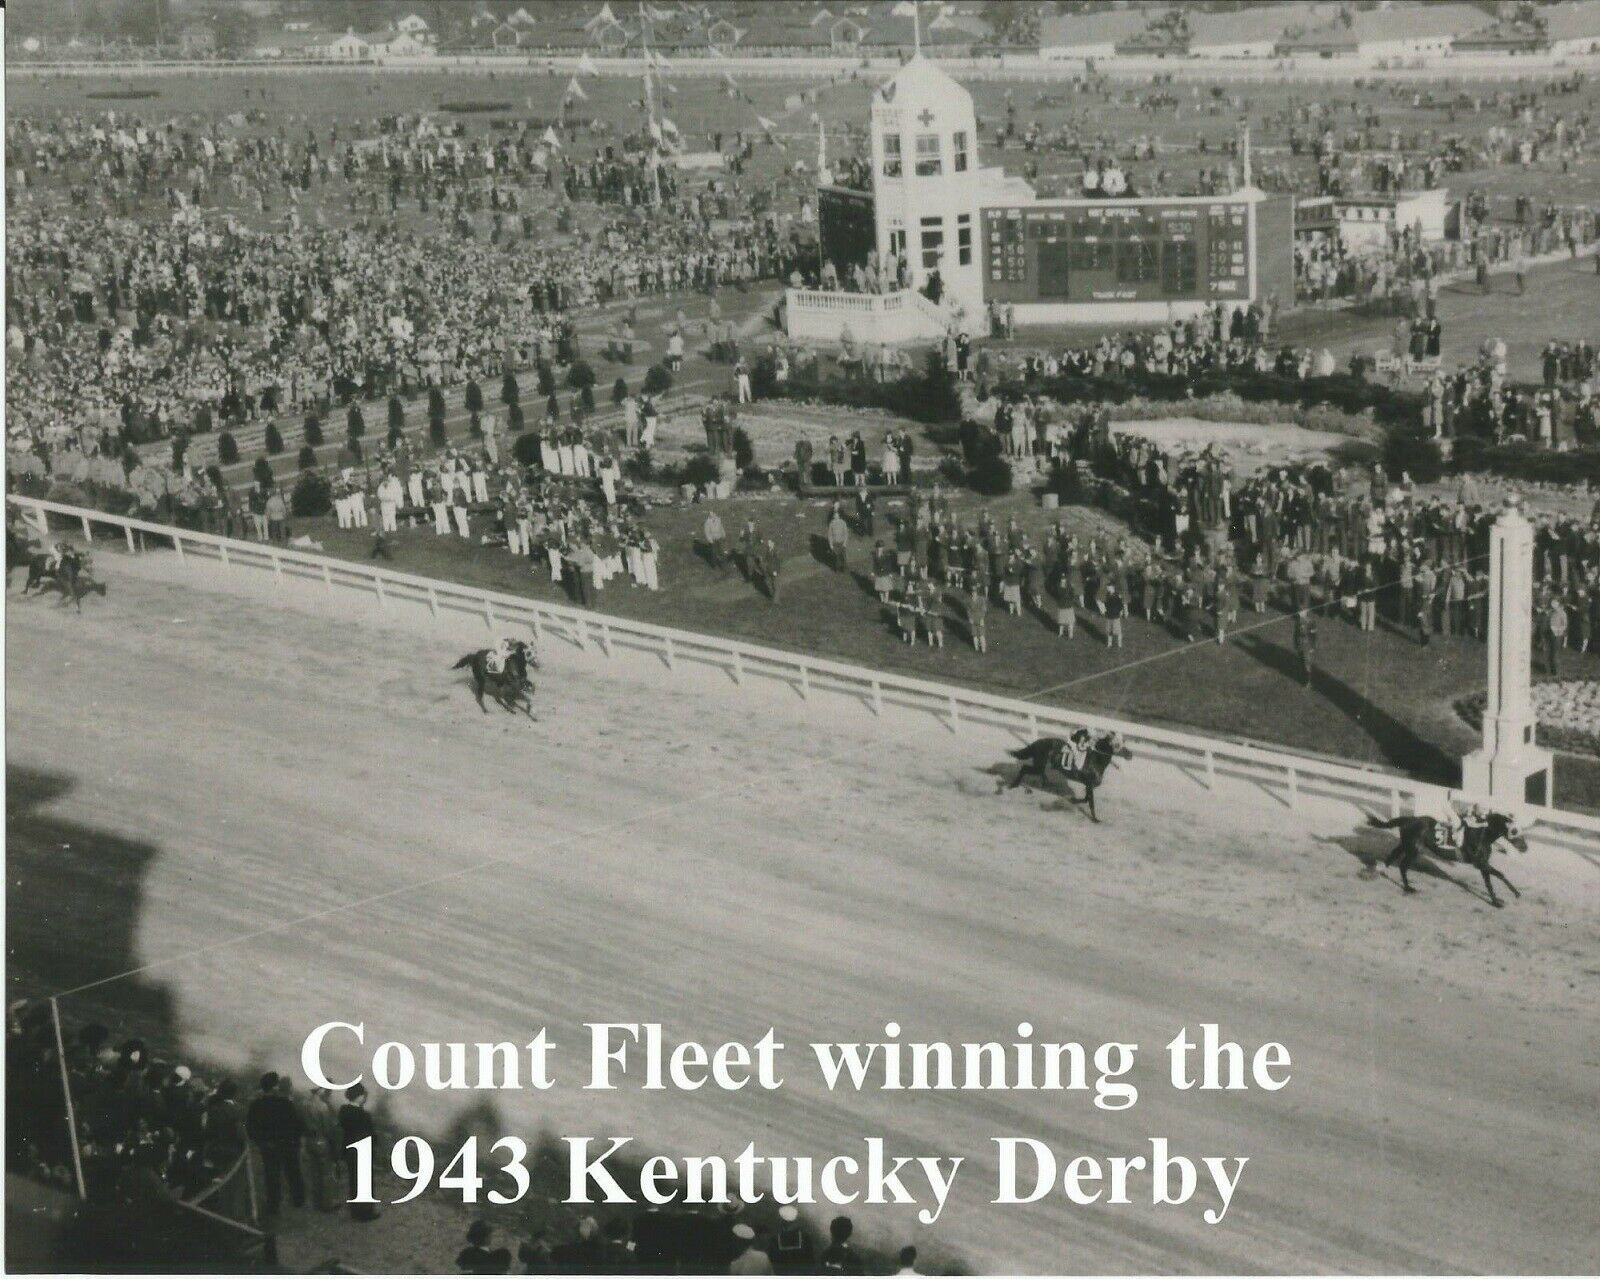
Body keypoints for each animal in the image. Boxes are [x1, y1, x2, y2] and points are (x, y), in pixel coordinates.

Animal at [1004, 736, 1132, 825]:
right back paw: (1014, 784)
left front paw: (1072, 800)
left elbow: (1086, 799)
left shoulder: (1088, 785)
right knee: (1025, 768)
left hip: (1041, 764)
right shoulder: (1089, 784)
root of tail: (1037, 742)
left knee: (1037, 771)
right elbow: (1091, 802)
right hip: (1039, 764)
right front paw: (1095, 819)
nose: (1130, 754)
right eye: (1118, 744)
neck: (1096, 760)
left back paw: (1045, 783)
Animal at [1369, 816, 1529, 902]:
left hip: (1406, 845)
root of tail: (1410, 819)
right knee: (1402, 865)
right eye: (1515, 831)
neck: (1483, 835)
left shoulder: (1483, 864)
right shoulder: (1479, 863)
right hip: (1413, 849)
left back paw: (1381, 870)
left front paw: (1498, 900)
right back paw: (1408, 887)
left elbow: (1490, 882)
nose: (1525, 848)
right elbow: (1499, 875)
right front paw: (1512, 895)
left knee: (1393, 855)